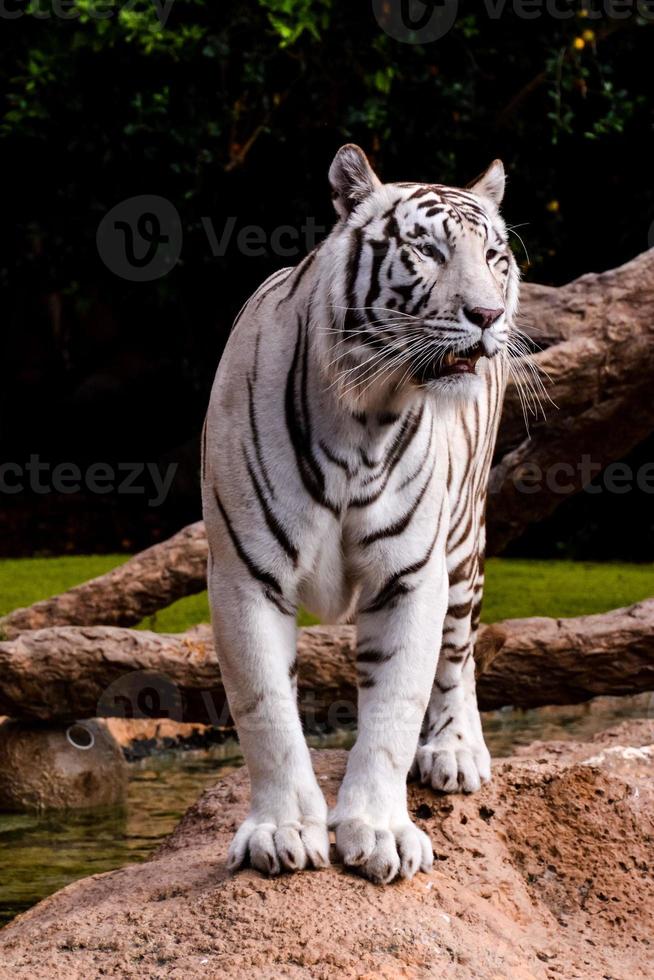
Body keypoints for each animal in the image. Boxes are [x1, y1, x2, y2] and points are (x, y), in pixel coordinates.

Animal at [202, 147, 520, 888]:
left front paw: (380, 832)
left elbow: (394, 711)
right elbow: (265, 709)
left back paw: (456, 751)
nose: (488, 314)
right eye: (428, 250)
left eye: (495, 256)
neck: (366, 413)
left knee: (458, 653)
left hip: (464, 543)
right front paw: (282, 830)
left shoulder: (411, 577)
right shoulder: (244, 574)